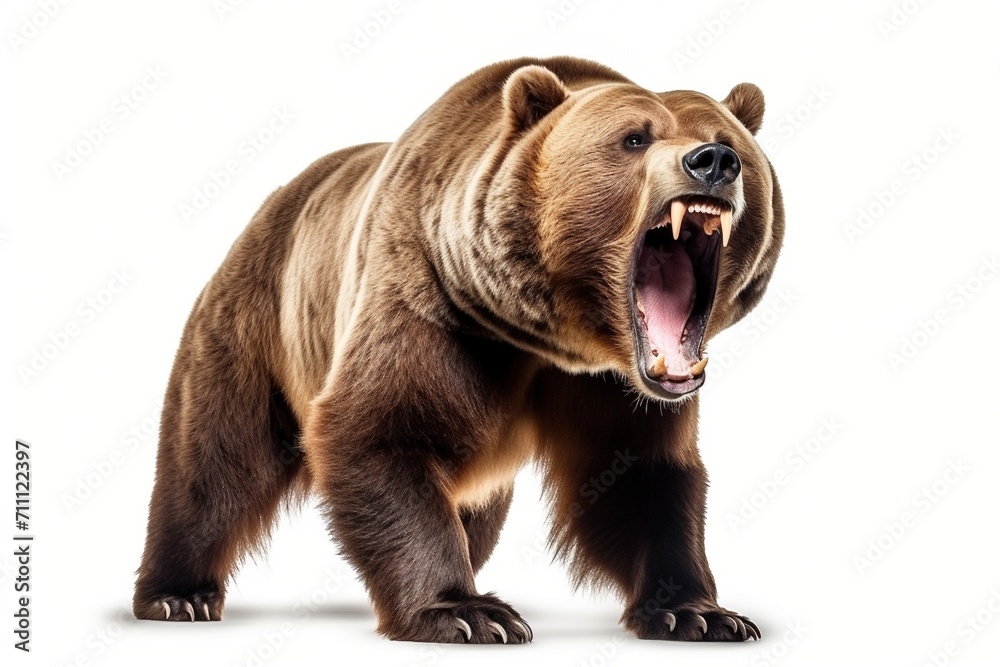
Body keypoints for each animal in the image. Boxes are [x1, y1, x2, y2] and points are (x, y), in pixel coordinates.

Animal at [133, 56, 784, 644]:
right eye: (633, 138)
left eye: (729, 141)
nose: (712, 162)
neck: (552, 338)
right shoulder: (432, 308)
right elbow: (379, 431)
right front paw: (467, 611)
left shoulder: (613, 384)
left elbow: (643, 473)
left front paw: (698, 613)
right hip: (253, 322)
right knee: (216, 459)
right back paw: (177, 595)